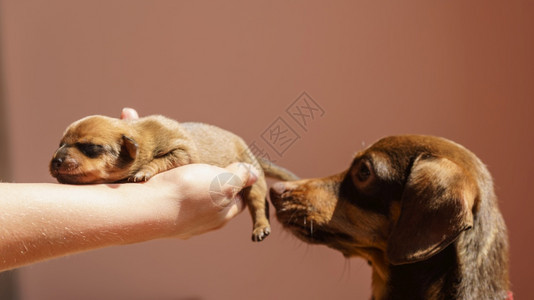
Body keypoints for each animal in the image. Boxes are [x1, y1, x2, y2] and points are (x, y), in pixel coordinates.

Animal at [50, 115, 300, 241]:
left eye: (90, 147)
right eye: (60, 143)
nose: (55, 162)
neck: (142, 138)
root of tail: (250, 152)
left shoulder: (182, 151)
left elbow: (162, 159)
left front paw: (144, 170)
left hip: (253, 178)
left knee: (259, 204)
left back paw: (261, 227)